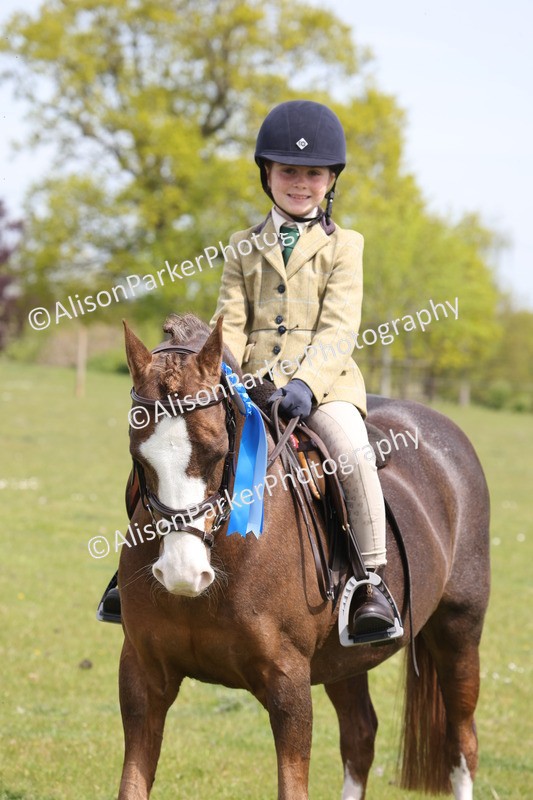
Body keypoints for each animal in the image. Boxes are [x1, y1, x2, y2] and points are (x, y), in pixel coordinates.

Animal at [116, 313, 490, 800]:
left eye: (216, 451)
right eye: (138, 455)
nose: (183, 573)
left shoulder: (289, 685)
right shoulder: (142, 676)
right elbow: (132, 783)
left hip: (459, 631)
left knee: (462, 743)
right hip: (346, 659)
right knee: (360, 737)